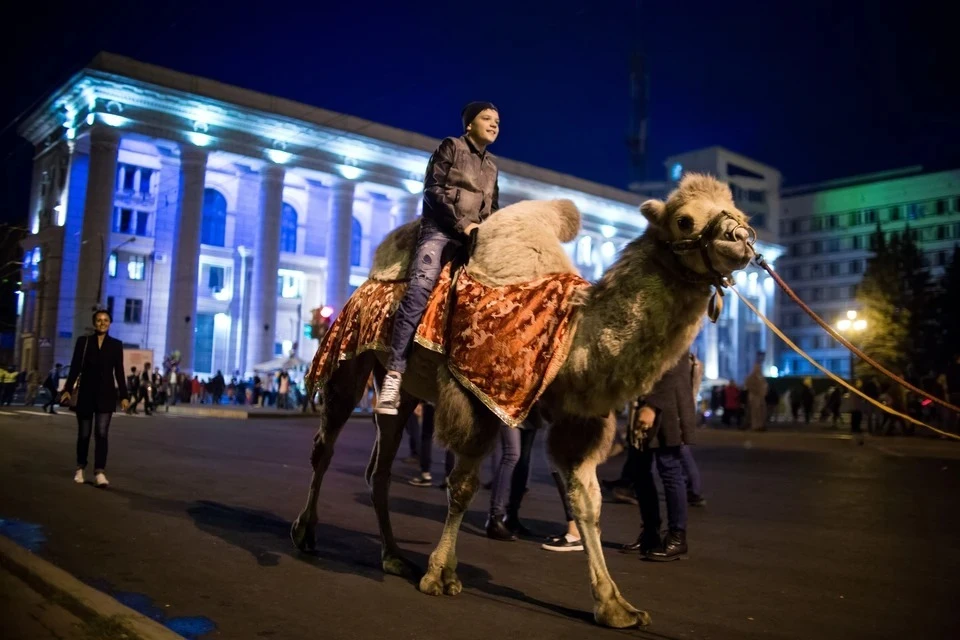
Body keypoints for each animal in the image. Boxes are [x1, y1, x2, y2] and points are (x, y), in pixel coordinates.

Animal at [288, 175, 752, 632]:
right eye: (684, 219)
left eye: (740, 213)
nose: (743, 239)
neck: (573, 334)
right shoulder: (471, 395)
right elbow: (463, 486)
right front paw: (441, 574)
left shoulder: (574, 421)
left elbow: (587, 503)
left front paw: (615, 605)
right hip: (349, 354)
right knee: (325, 445)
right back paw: (306, 533)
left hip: (398, 387)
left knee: (378, 468)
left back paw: (394, 557)